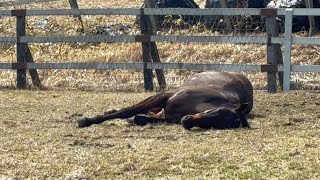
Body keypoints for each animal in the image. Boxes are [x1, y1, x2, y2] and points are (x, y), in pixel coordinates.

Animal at [77, 71, 252, 129]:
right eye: (219, 111)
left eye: (218, 126)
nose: (187, 122)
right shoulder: (161, 96)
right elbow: (128, 110)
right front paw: (87, 120)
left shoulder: (166, 116)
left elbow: (140, 118)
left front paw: (136, 120)